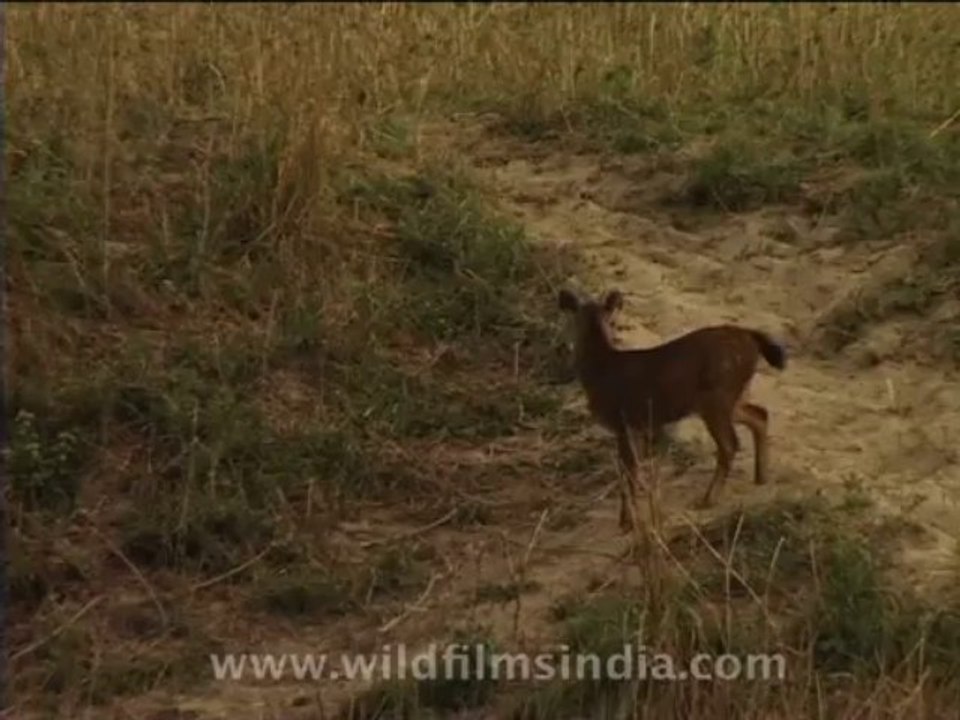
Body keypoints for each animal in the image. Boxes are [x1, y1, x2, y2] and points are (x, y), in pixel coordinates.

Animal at [558, 288, 787, 531]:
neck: (600, 370)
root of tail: (752, 338)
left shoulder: (624, 422)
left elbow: (627, 472)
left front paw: (627, 521)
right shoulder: (639, 425)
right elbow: (636, 468)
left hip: (717, 395)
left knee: (730, 443)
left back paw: (709, 499)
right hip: (730, 397)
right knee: (759, 414)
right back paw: (761, 477)